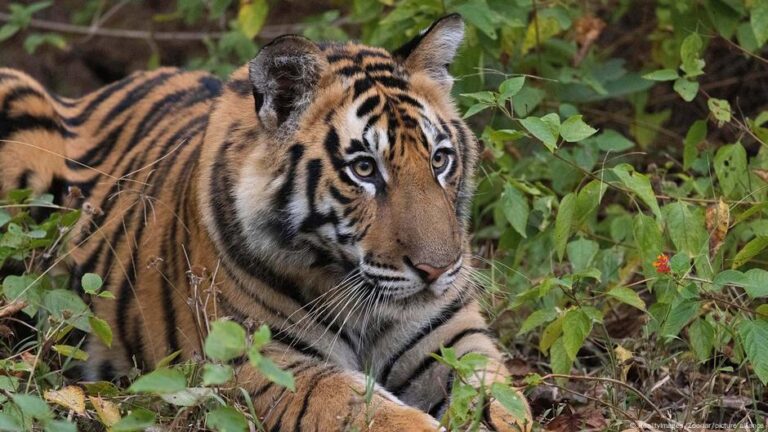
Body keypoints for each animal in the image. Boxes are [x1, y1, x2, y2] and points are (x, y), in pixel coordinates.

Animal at [0, 14, 532, 431]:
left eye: (440, 160)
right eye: (364, 169)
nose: (438, 270)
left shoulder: (452, 337)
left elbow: (499, 401)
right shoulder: (255, 358)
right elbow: (364, 410)